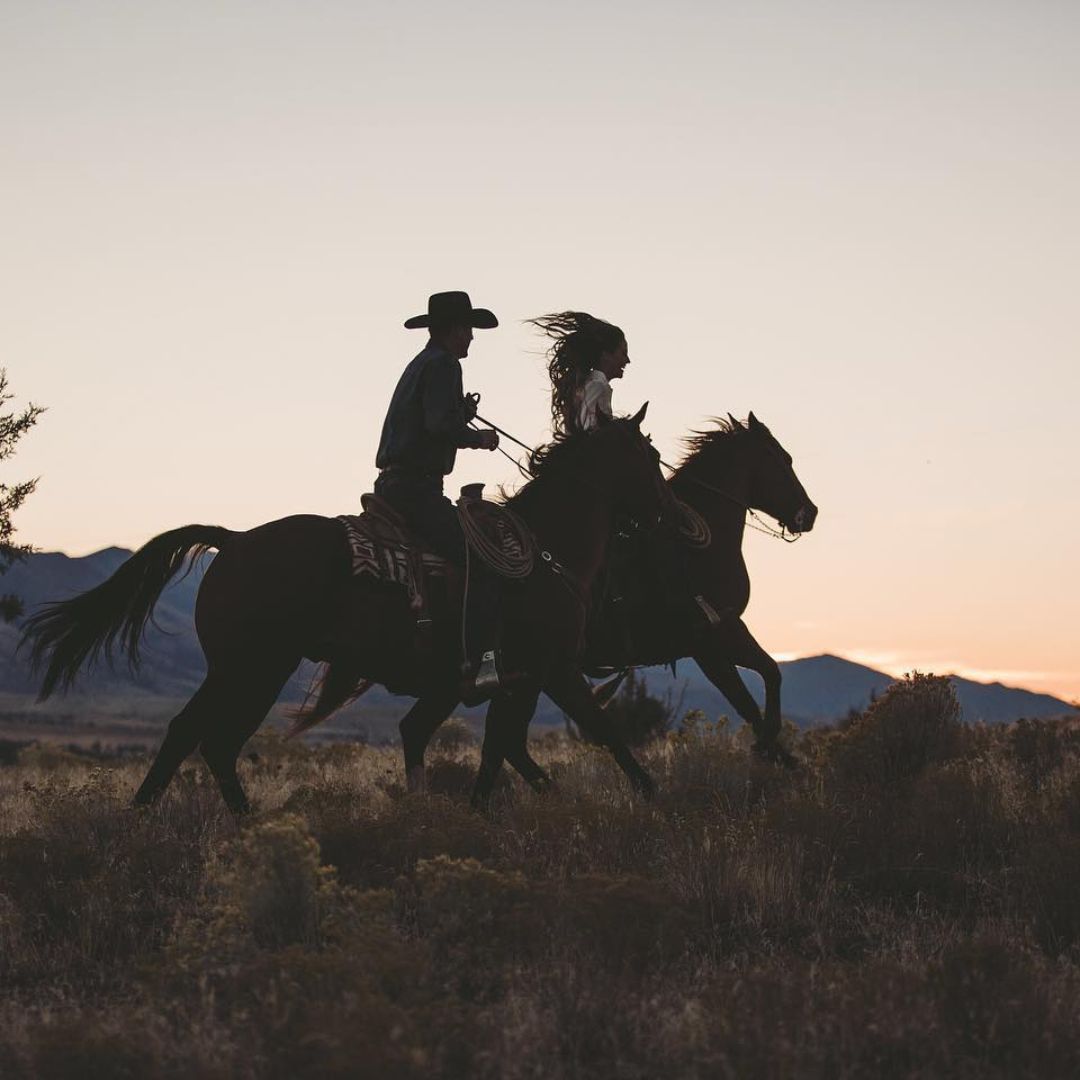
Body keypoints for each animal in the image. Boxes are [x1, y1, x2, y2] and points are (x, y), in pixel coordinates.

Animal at [25, 406, 673, 812]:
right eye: (650, 455)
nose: (669, 511)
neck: (543, 551)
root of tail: (233, 539)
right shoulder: (548, 670)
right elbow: (597, 735)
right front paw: (656, 801)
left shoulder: (508, 680)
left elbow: (495, 747)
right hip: (254, 668)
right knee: (208, 738)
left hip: (244, 670)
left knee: (202, 738)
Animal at [399, 412, 816, 794]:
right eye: (784, 459)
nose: (809, 513)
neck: (700, 545)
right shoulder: (715, 636)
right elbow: (759, 687)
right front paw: (774, 752)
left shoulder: (716, 638)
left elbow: (758, 687)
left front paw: (783, 759)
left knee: (481, 738)